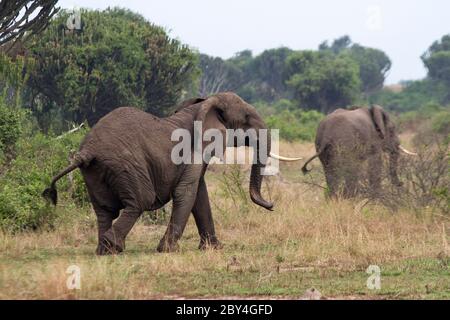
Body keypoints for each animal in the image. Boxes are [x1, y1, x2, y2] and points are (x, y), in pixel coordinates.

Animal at [42, 92, 298, 255]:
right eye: (246, 119)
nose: (271, 205)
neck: (204, 104)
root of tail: (86, 151)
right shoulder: (193, 149)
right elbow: (187, 193)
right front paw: (168, 250)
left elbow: (199, 194)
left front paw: (214, 249)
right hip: (126, 165)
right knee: (139, 201)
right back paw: (114, 247)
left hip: (94, 172)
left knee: (104, 210)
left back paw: (104, 250)